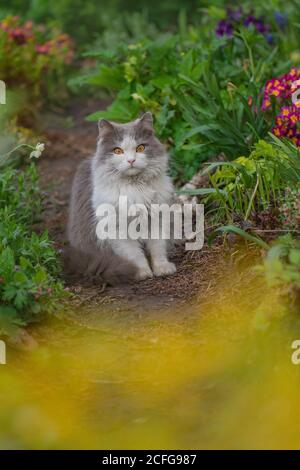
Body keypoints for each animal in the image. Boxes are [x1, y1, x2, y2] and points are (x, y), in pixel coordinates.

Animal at [66, 112, 176, 284]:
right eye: (118, 151)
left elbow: (157, 248)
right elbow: (134, 255)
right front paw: (141, 272)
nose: (131, 160)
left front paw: (162, 268)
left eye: (140, 148)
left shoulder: (157, 218)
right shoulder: (117, 229)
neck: (135, 187)